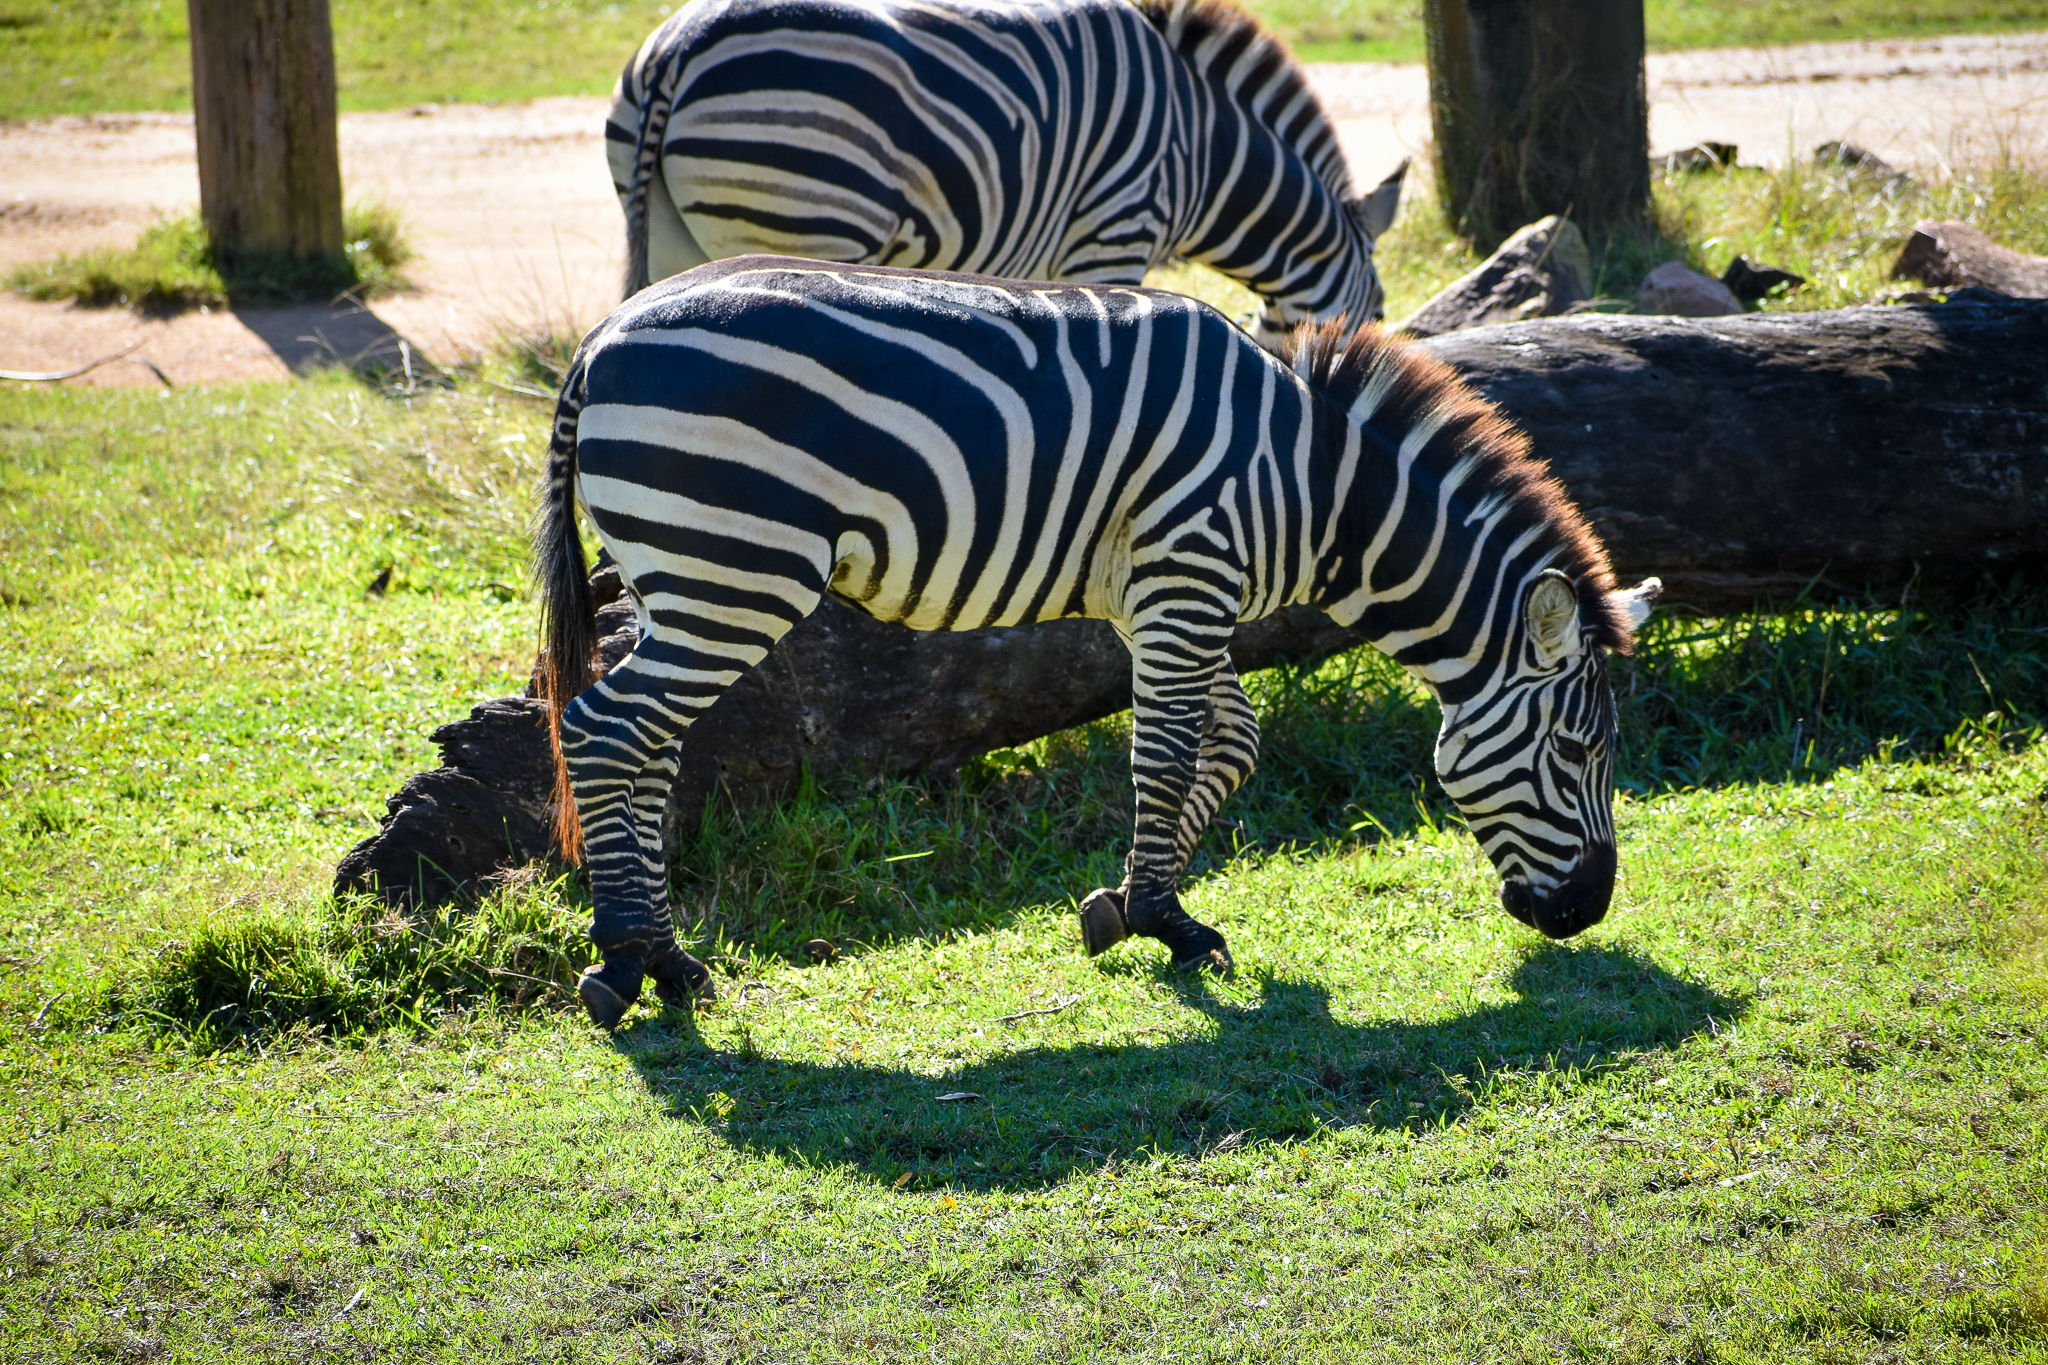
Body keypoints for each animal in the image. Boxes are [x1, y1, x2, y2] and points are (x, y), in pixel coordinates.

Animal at [533, 255, 1661, 1029]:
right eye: (1577, 751)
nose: (1588, 911)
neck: (1317, 491)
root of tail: (599, 337)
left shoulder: (1162, 599)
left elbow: (1230, 744)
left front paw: (1122, 904)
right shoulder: (1188, 574)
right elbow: (1163, 756)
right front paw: (1168, 922)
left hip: (682, 579)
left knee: (648, 749)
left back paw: (671, 961)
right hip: (736, 564)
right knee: (602, 731)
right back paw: (622, 957)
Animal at [604, 0, 1407, 349]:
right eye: (1379, 313)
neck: (1201, 155)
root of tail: (681, 44)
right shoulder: (1115, 229)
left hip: (675, 230)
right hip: (809, 214)